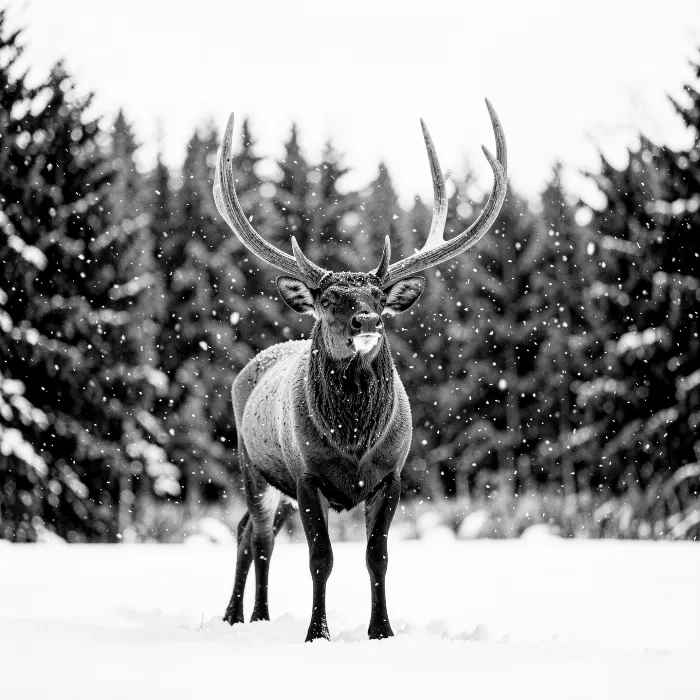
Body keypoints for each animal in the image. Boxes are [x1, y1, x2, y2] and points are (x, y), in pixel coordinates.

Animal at [212, 100, 507, 642]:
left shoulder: (391, 475)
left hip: (277, 484)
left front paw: (382, 631)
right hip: (252, 464)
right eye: (329, 300)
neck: (352, 438)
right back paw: (248, 616)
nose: (367, 320)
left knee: (246, 529)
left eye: (377, 299)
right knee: (256, 535)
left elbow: (378, 557)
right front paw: (317, 633)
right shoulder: (306, 475)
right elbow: (320, 559)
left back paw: (243, 614)